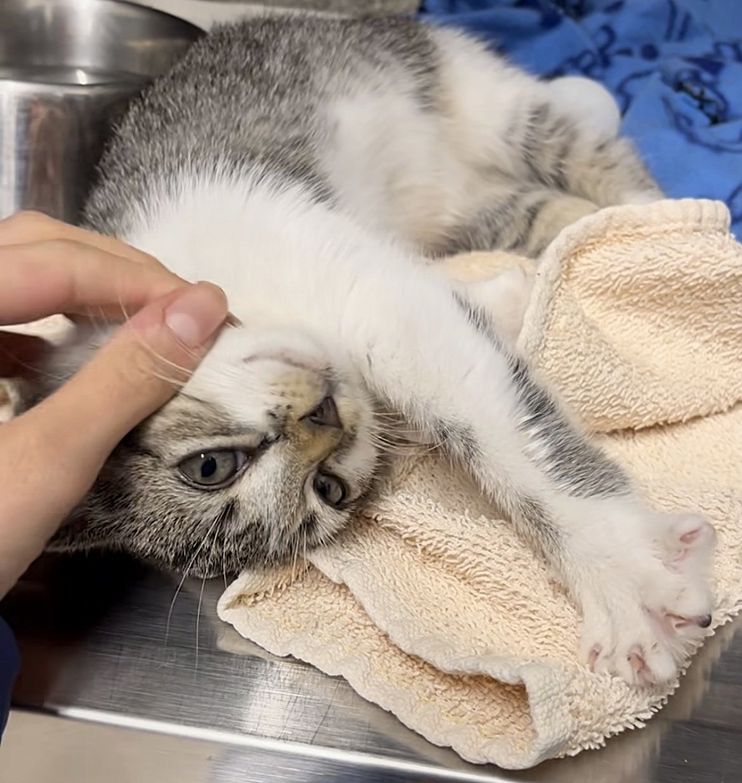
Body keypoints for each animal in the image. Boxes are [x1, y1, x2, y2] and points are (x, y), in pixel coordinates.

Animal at [36, 13, 716, 688]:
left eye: (209, 466)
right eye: (329, 489)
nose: (323, 419)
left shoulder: (361, 294)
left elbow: (512, 444)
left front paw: (621, 574)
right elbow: (455, 316)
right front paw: (510, 294)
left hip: (474, 94)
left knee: (585, 150)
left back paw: (669, 223)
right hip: (484, 209)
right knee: (541, 210)